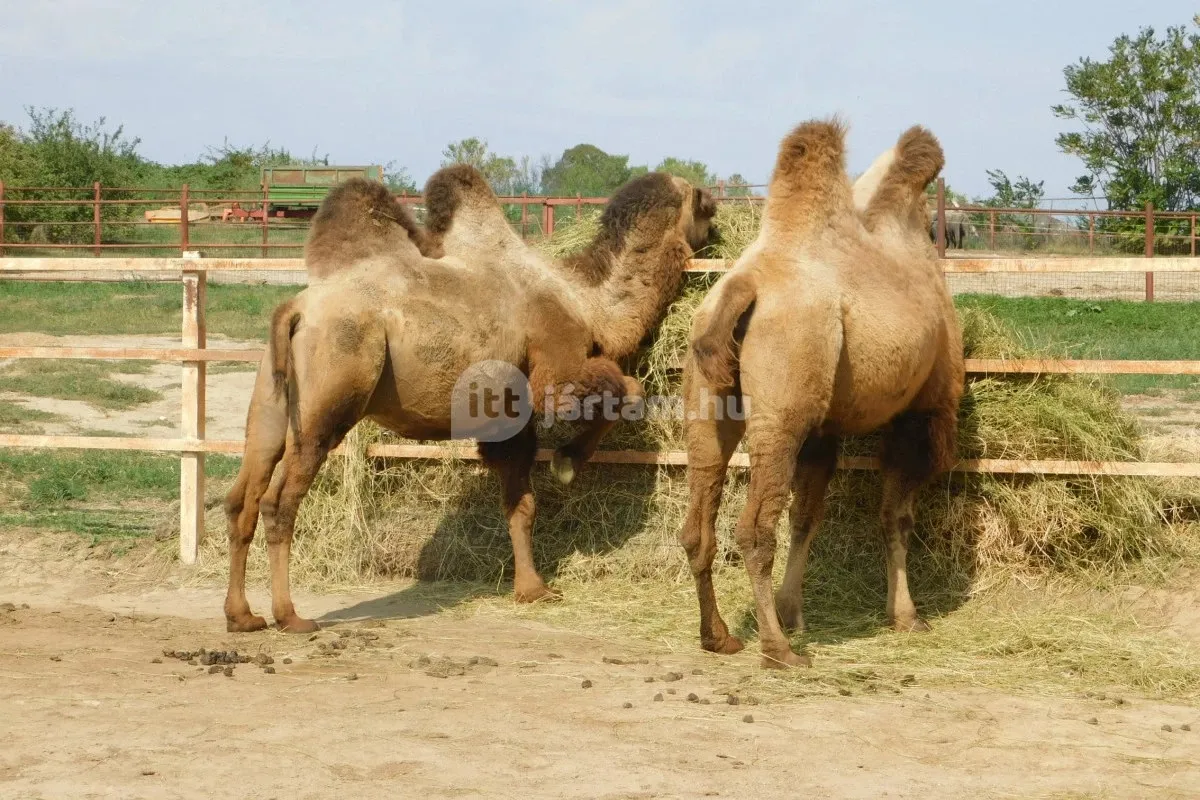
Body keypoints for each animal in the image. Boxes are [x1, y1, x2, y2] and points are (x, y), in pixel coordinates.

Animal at [224, 167, 710, 633]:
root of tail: (296, 310)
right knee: (279, 500)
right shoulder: (556, 367)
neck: (586, 301)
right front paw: (567, 462)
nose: (717, 222)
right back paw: (290, 616)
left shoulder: (508, 416)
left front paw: (532, 589)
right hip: (331, 393)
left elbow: (521, 505)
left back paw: (242, 616)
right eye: (704, 203)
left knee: (243, 495)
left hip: (271, 399)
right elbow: (627, 390)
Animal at [681, 118, 960, 671]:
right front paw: (907, 616)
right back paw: (779, 652)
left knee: (699, 523)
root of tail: (740, 290)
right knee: (754, 529)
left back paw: (719, 636)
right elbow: (896, 518)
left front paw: (794, 611)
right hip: (781, 415)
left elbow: (807, 516)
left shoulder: (823, 428)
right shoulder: (920, 411)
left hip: (710, 407)